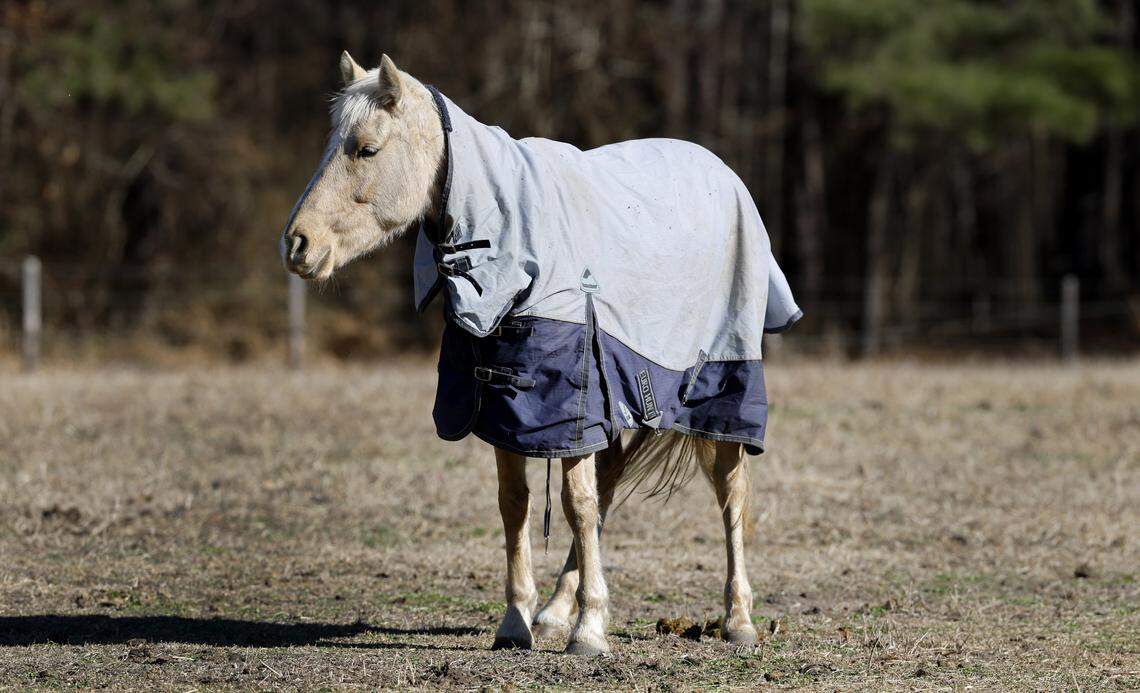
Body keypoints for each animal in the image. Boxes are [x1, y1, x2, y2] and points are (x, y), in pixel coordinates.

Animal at [280, 52, 801, 656]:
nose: (297, 244)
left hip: (722, 388)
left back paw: (738, 618)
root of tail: (727, 176)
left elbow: (575, 505)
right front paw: (519, 621)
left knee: (729, 494)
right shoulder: (503, 403)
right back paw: (554, 612)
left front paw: (591, 629)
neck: (515, 249)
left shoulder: (566, 402)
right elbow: (518, 502)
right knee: (608, 485)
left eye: (366, 148)